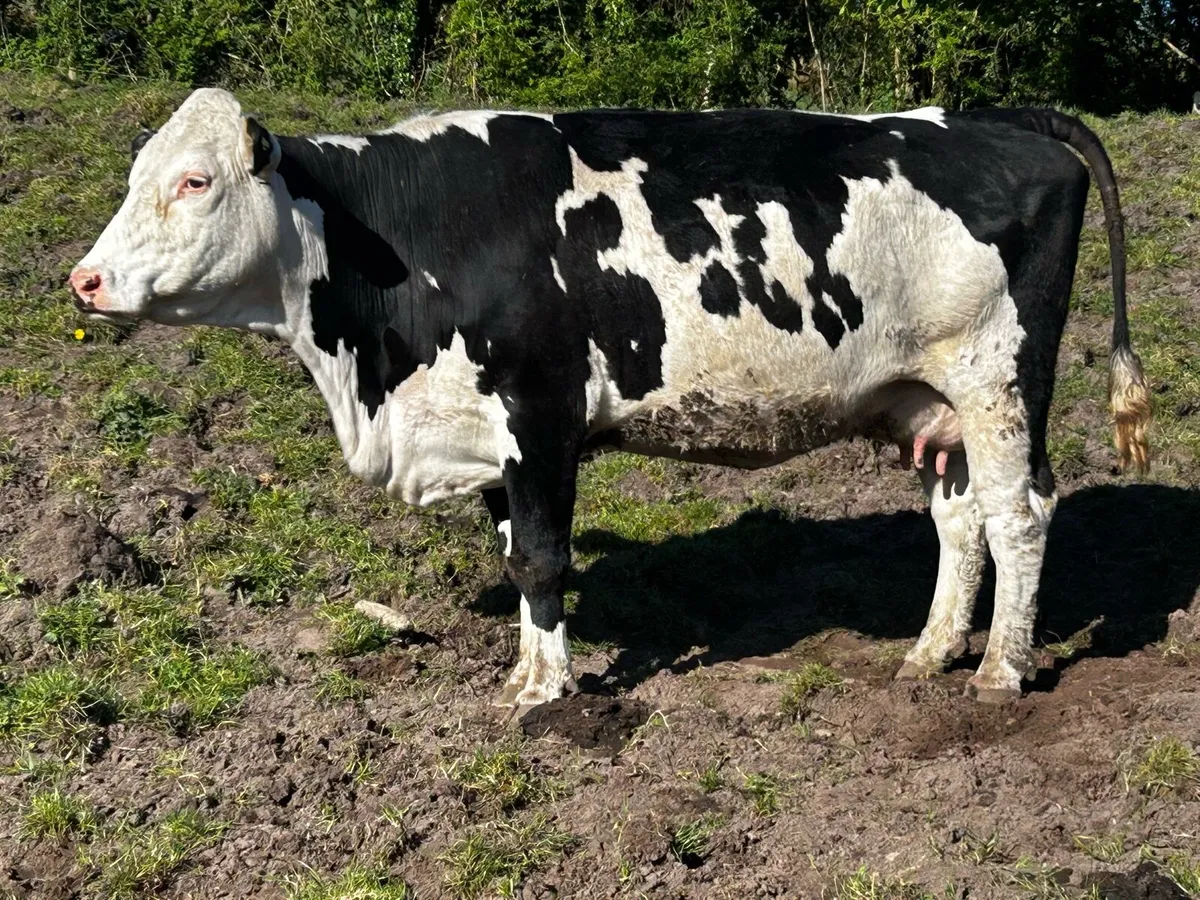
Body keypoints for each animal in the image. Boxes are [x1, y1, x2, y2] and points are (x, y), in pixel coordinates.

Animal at [70, 90, 1151, 710]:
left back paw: (1001, 670)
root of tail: (990, 118)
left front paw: (549, 692)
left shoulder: (542, 411)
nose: (84, 280)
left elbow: (544, 558)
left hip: (1000, 375)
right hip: (934, 398)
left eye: (195, 181)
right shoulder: (488, 435)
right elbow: (517, 555)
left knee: (1020, 515)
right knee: (961, 521)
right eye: (134, 175)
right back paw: (929, 654)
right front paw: (524, 668)